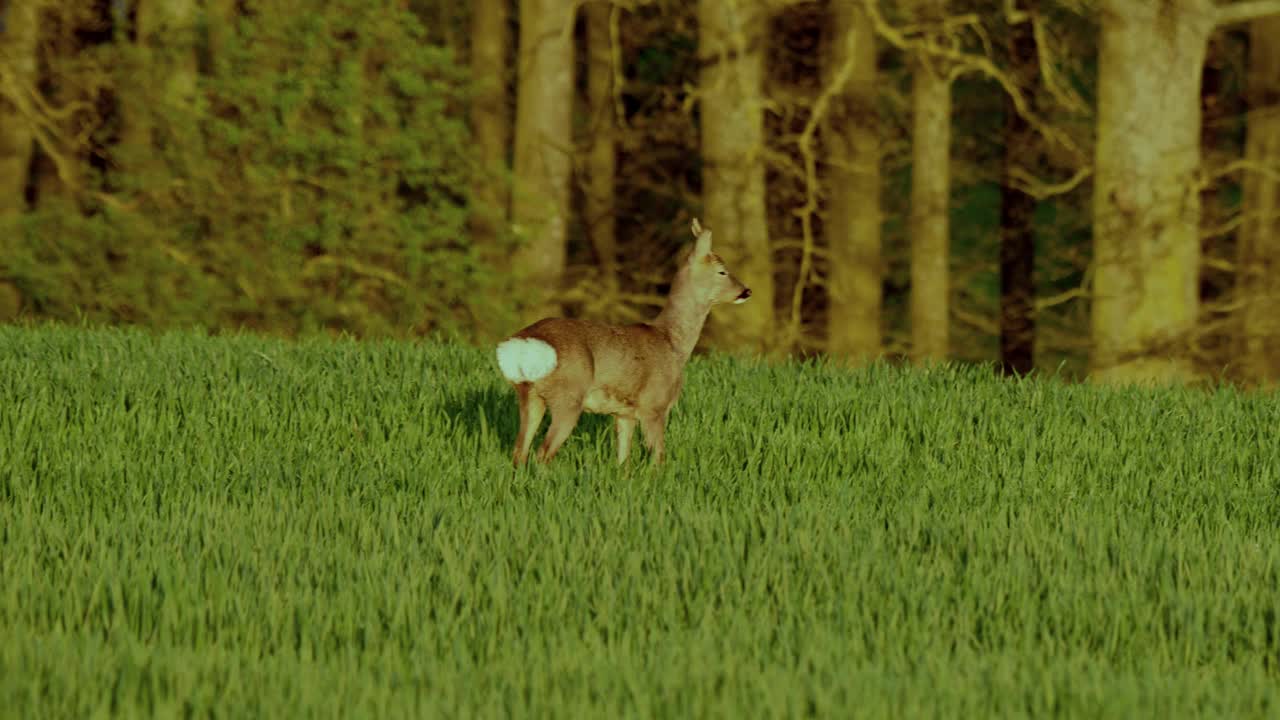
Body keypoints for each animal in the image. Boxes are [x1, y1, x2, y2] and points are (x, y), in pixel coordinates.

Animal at [491, 219, 747, 461]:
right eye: (722, 271)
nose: (746, 291)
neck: (672, 342)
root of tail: (522, 345)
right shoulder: (654, 405)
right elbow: (658, 458)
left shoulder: (624, 413)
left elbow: (623, 461)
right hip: (568, 396)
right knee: (542, 454)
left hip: (529, 394)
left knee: (519, 452)